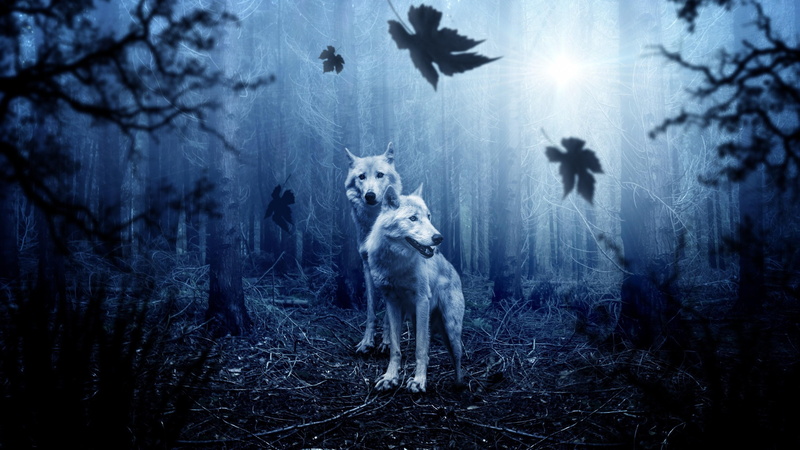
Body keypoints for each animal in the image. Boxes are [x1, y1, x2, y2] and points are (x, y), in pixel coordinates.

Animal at [344, 143, 403, 354]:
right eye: (361, 176)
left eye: (380, 174)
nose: (370, 195)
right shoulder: (367, 267)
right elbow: (371, 310)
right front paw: (367, 342)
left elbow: (388, 314)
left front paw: (387, 342)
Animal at [364, 184, 465, 392]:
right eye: (413, 218)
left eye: (429, 216)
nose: (439, 238)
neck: (395, 264)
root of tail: (455, 271)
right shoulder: (392, 303)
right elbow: (395, 348)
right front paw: (390, 378)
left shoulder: (422, 300)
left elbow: (420, 349)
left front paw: (419, 381)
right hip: (418, 320)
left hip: (450, 328)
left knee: (457, 356)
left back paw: (459, 385)